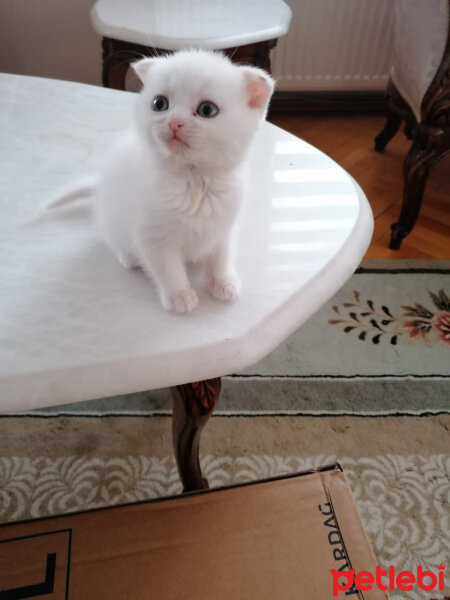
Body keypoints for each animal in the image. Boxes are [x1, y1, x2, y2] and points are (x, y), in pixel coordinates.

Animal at [95, 48, 274, 314]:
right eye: (159, 104)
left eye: (207, 110)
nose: (174, 122)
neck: (195, 181)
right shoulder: (152, 236)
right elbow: (167, 269)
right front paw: (180, 295)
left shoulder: (224, 227)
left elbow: (221, 257)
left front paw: (223, 282)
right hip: (111, 219)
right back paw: (128, 257)